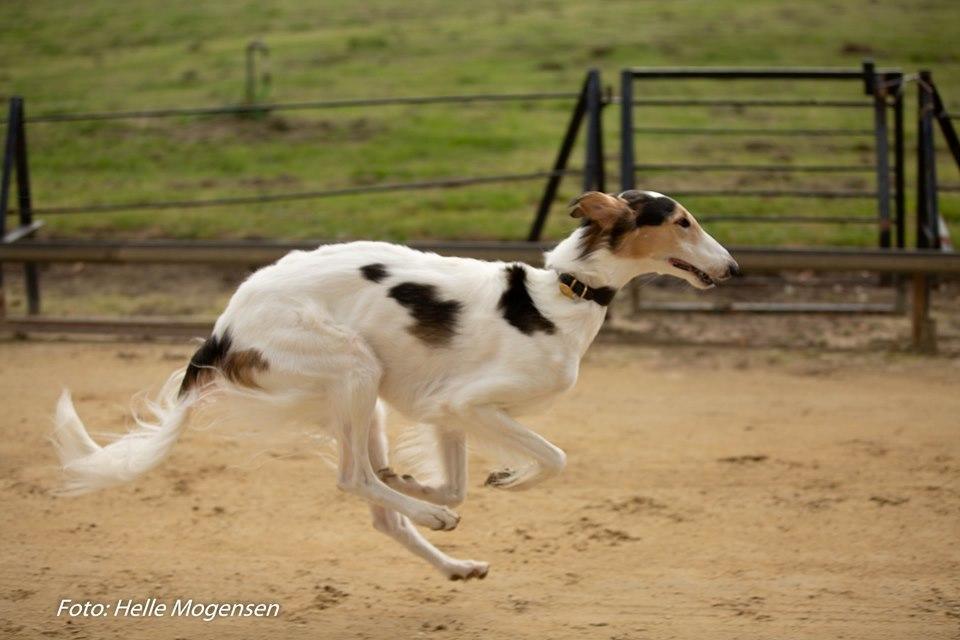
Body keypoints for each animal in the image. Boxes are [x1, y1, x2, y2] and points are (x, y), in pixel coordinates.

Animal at [52, 189, 740, 580]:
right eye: (682, 222)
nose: (734, 268)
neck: (562, 296)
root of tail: (224, 327)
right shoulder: (467, 404)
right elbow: (553, 458)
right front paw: (506, 479)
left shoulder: (444, 412)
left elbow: (456, 482)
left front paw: (426, 481)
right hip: (356, 368)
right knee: (351, 478)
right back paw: (433, 521)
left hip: (362, 398)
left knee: (379, 505)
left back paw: (451, 560)